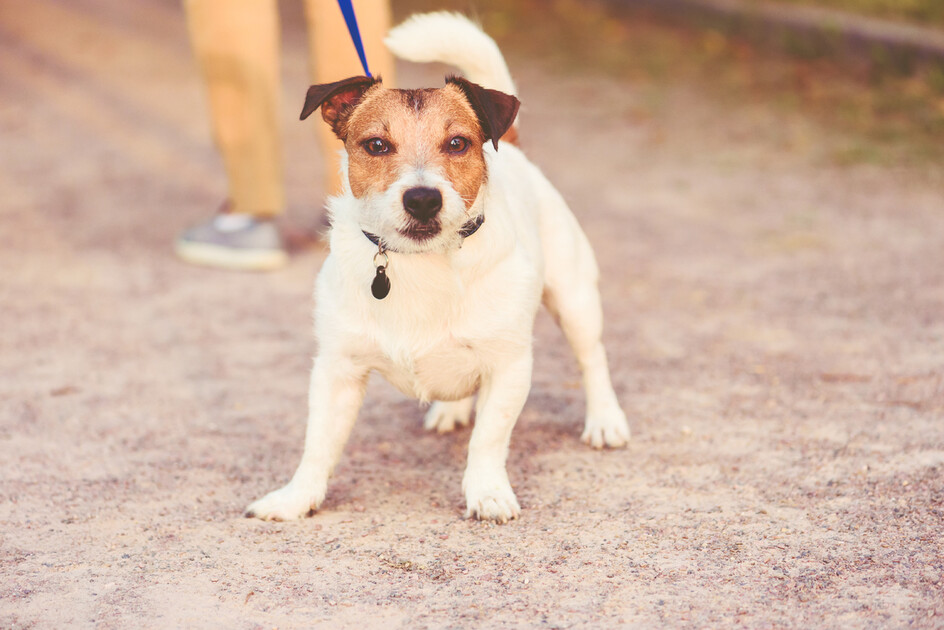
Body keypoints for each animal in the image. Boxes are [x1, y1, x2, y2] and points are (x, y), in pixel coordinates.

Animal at [245, 12, 628, 524]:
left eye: (458, 143)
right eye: (377, 144)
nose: (423, 198)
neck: (419, 263)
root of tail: (515, 148)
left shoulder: (509, 366)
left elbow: (488, 440)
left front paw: (487, 492)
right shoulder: (336, 370)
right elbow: (318, 445)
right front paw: (296, 498)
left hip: (574, 298)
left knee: (592, 359)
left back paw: (605, 419)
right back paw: (452, 410)